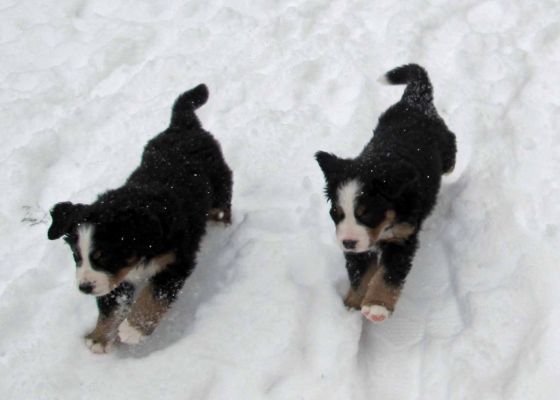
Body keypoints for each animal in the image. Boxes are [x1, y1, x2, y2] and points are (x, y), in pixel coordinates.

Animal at [47, 83, 232, 352]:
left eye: (104, 256)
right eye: (76, 256)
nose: (85, 288)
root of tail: (182, 125)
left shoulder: (176, 260)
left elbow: (155, 295)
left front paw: (133, 329)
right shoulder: (114, 277)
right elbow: (111, 304)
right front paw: (99, 337)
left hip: (219, 184)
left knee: (223, 205)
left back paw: (222, 225)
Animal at [316, 64, 456, 324]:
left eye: (366, 213)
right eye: (336, 213)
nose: (347, 242)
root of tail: (414, 100)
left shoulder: (403, 238)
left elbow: (389, 274)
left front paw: (376, 306)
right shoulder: (359, 247)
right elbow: (360, 274)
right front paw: (351, 306)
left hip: (446, 144)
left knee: (451, 155)